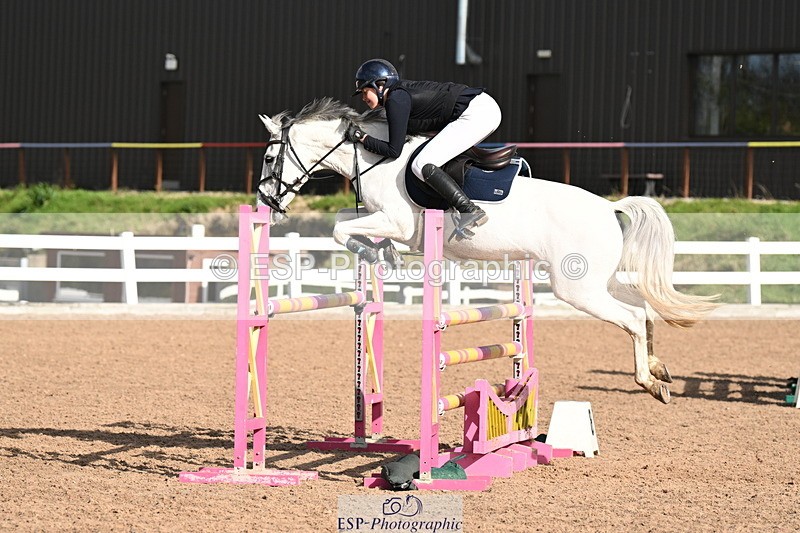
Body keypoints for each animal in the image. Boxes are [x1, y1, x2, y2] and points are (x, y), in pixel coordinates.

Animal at [256, 97, 718, 404]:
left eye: (269, 159)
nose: (266, 202)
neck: (374, 156)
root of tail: (609, 206)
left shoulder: (398, 222)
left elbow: (341, 229)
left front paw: (371, 252)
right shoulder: (389, 223)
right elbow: (345, 224)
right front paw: (382, 253)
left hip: (577, 289)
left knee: (632, 319)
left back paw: (650, 382)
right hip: (599, 280)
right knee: (642, 309)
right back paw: (659, 368)